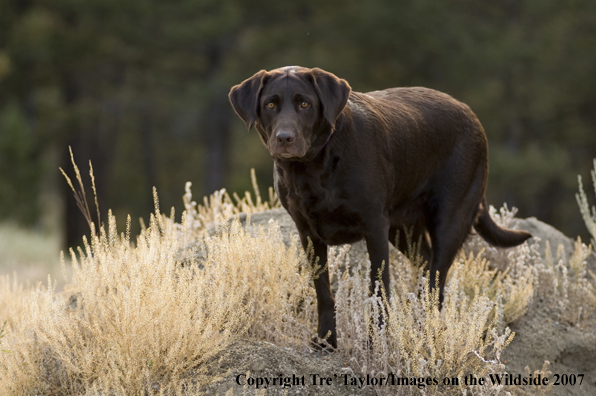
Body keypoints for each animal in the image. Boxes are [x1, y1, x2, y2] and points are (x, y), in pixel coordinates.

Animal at [228, 65, 532, 346]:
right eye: (270, 105)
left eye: (305, 104)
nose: (284, 138)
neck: (313, 168)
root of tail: (470, 113)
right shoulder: (308, 234)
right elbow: (323, 291)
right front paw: (327, 339)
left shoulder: (374, 227)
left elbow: (378, 289)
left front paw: (378, 344)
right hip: (402, 230)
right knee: (426, 271)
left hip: (449, 221)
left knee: (435, 281)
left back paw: (425, 334)